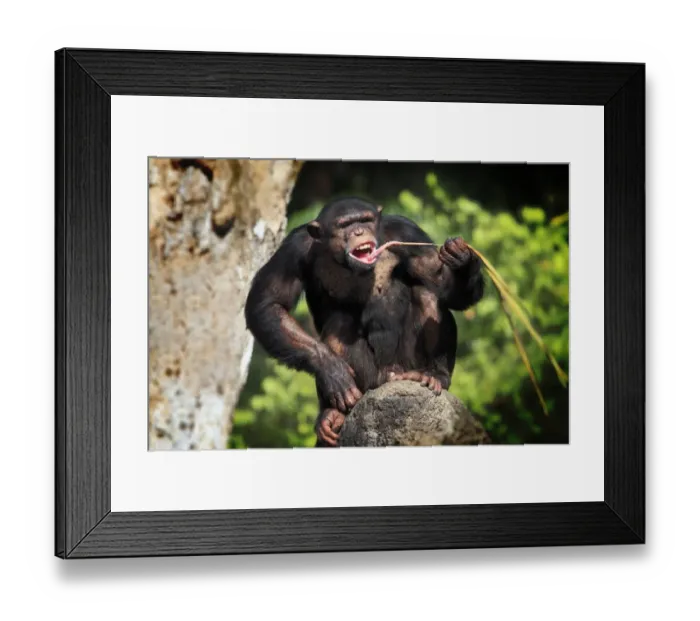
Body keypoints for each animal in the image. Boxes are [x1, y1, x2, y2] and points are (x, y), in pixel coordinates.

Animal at [244, 197, 484, 446]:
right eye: (345, 225)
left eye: (365, 220)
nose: (358, 231)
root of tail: (394, 374)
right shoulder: (295, 247)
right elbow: (269, 303)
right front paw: (331, 368)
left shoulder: (407, 232)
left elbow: (441, 280)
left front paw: (462, 260)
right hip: (373, 381)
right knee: (340, 323)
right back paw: (333, 414)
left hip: (409, 364)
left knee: (427, 294)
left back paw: (434, 375)